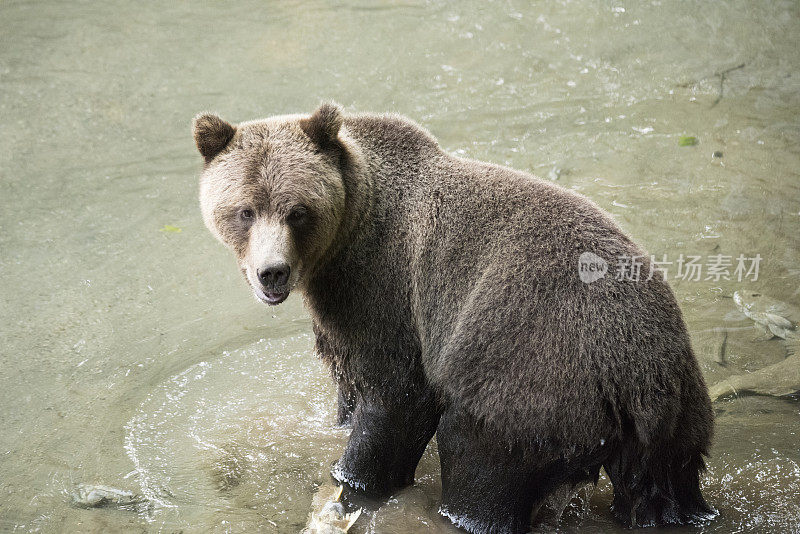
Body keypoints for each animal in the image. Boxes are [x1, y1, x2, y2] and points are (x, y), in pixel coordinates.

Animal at [195, 102, 720, 532]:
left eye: (298, 211)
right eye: (245, 210)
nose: (272, 273)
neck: (345, 237)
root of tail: (638, 376)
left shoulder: (384, 287)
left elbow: (395, 399)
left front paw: (354, 477)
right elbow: (349, 385)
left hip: (535, 373)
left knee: (478, 458)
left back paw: (463, 512)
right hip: (675, 421)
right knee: (664, 486)